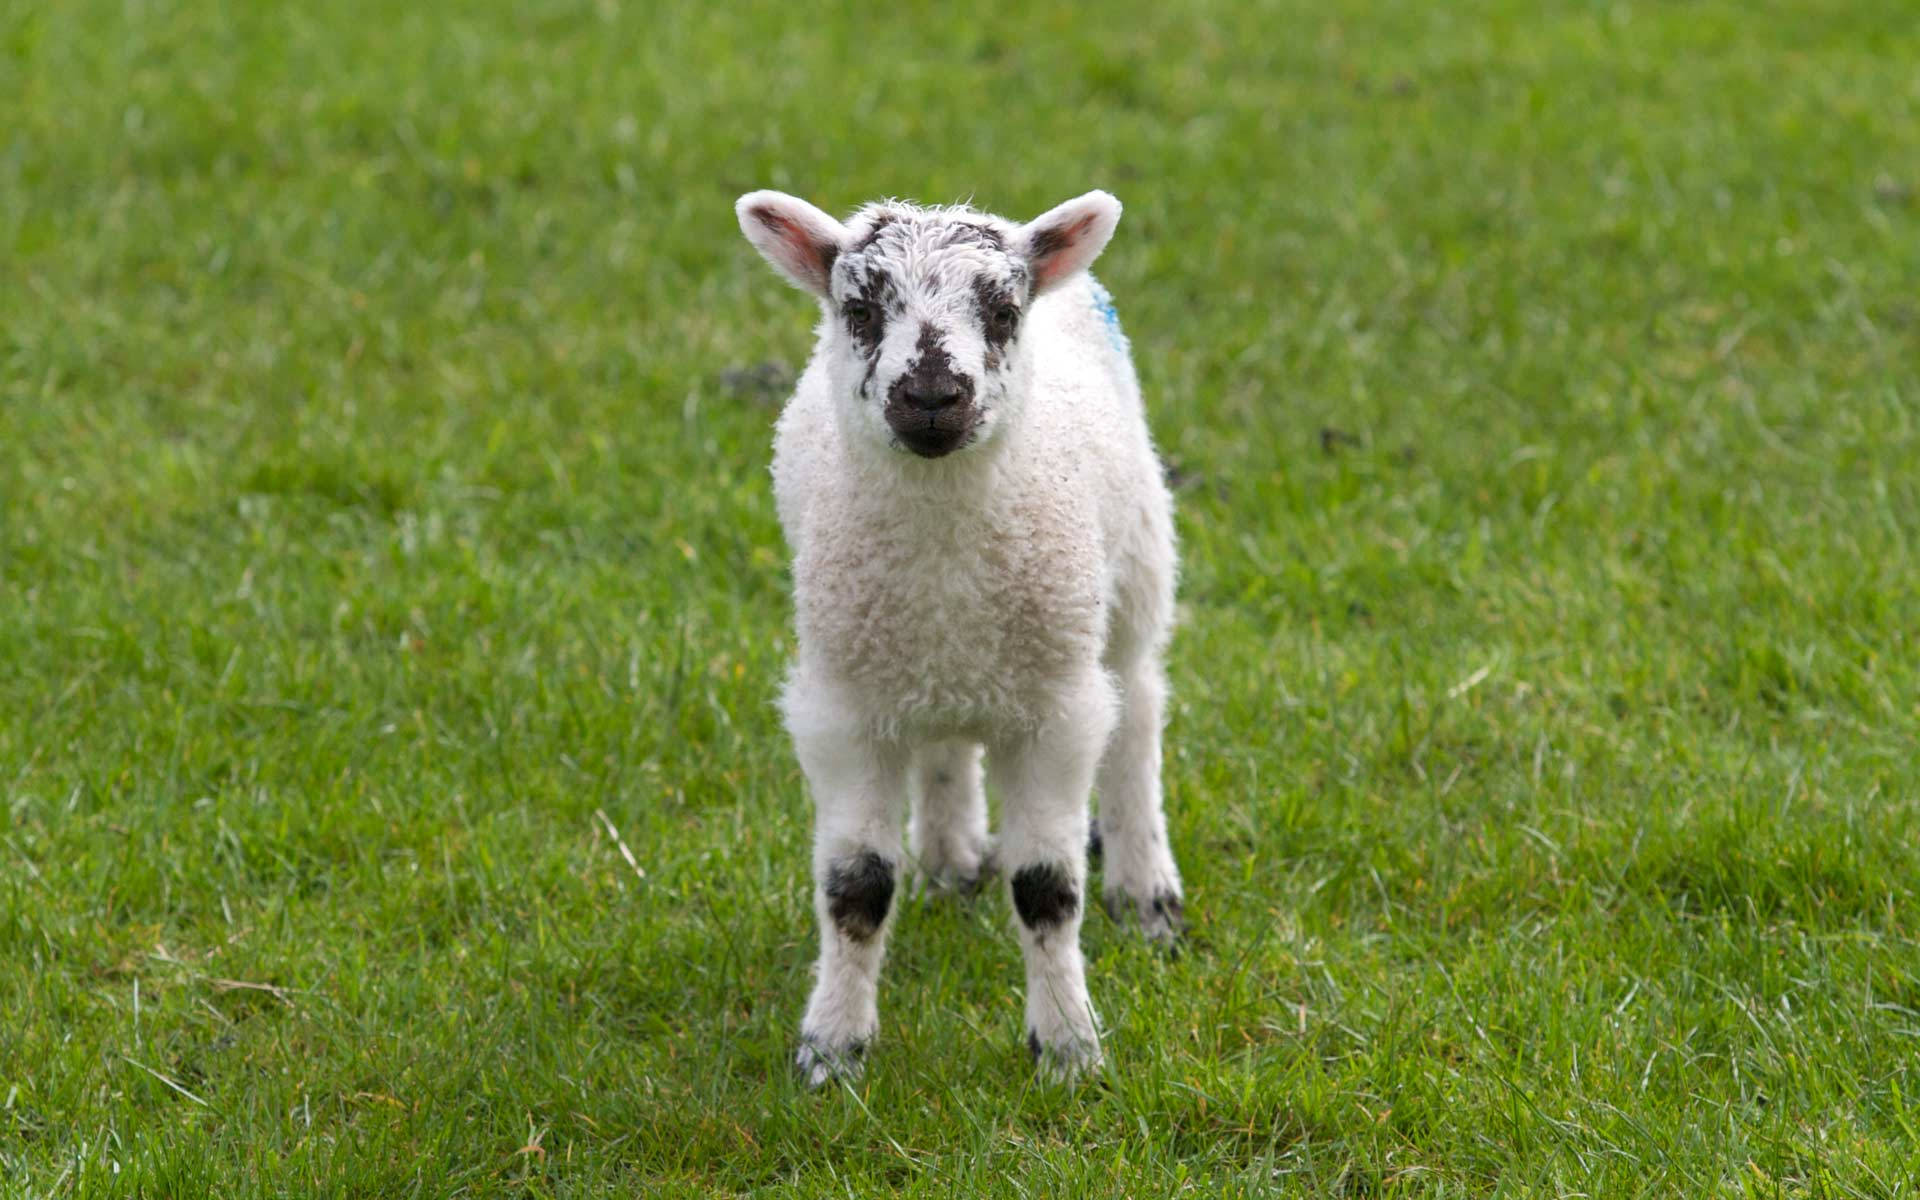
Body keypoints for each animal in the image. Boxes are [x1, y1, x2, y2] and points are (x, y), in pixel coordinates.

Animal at [733, 187, 1182, 1082]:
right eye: (860, 310)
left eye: (1003, 312)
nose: (934, 395)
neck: (945, 559)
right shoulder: (843, 709)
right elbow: (856, 888)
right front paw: (832, 1049)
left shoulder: (1056, 712)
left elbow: (1047, 888)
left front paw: (1068, 1047)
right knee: (943, 742)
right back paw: (949, 860)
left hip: (1135, 568)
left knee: (1139, 711)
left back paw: (1145, 888)